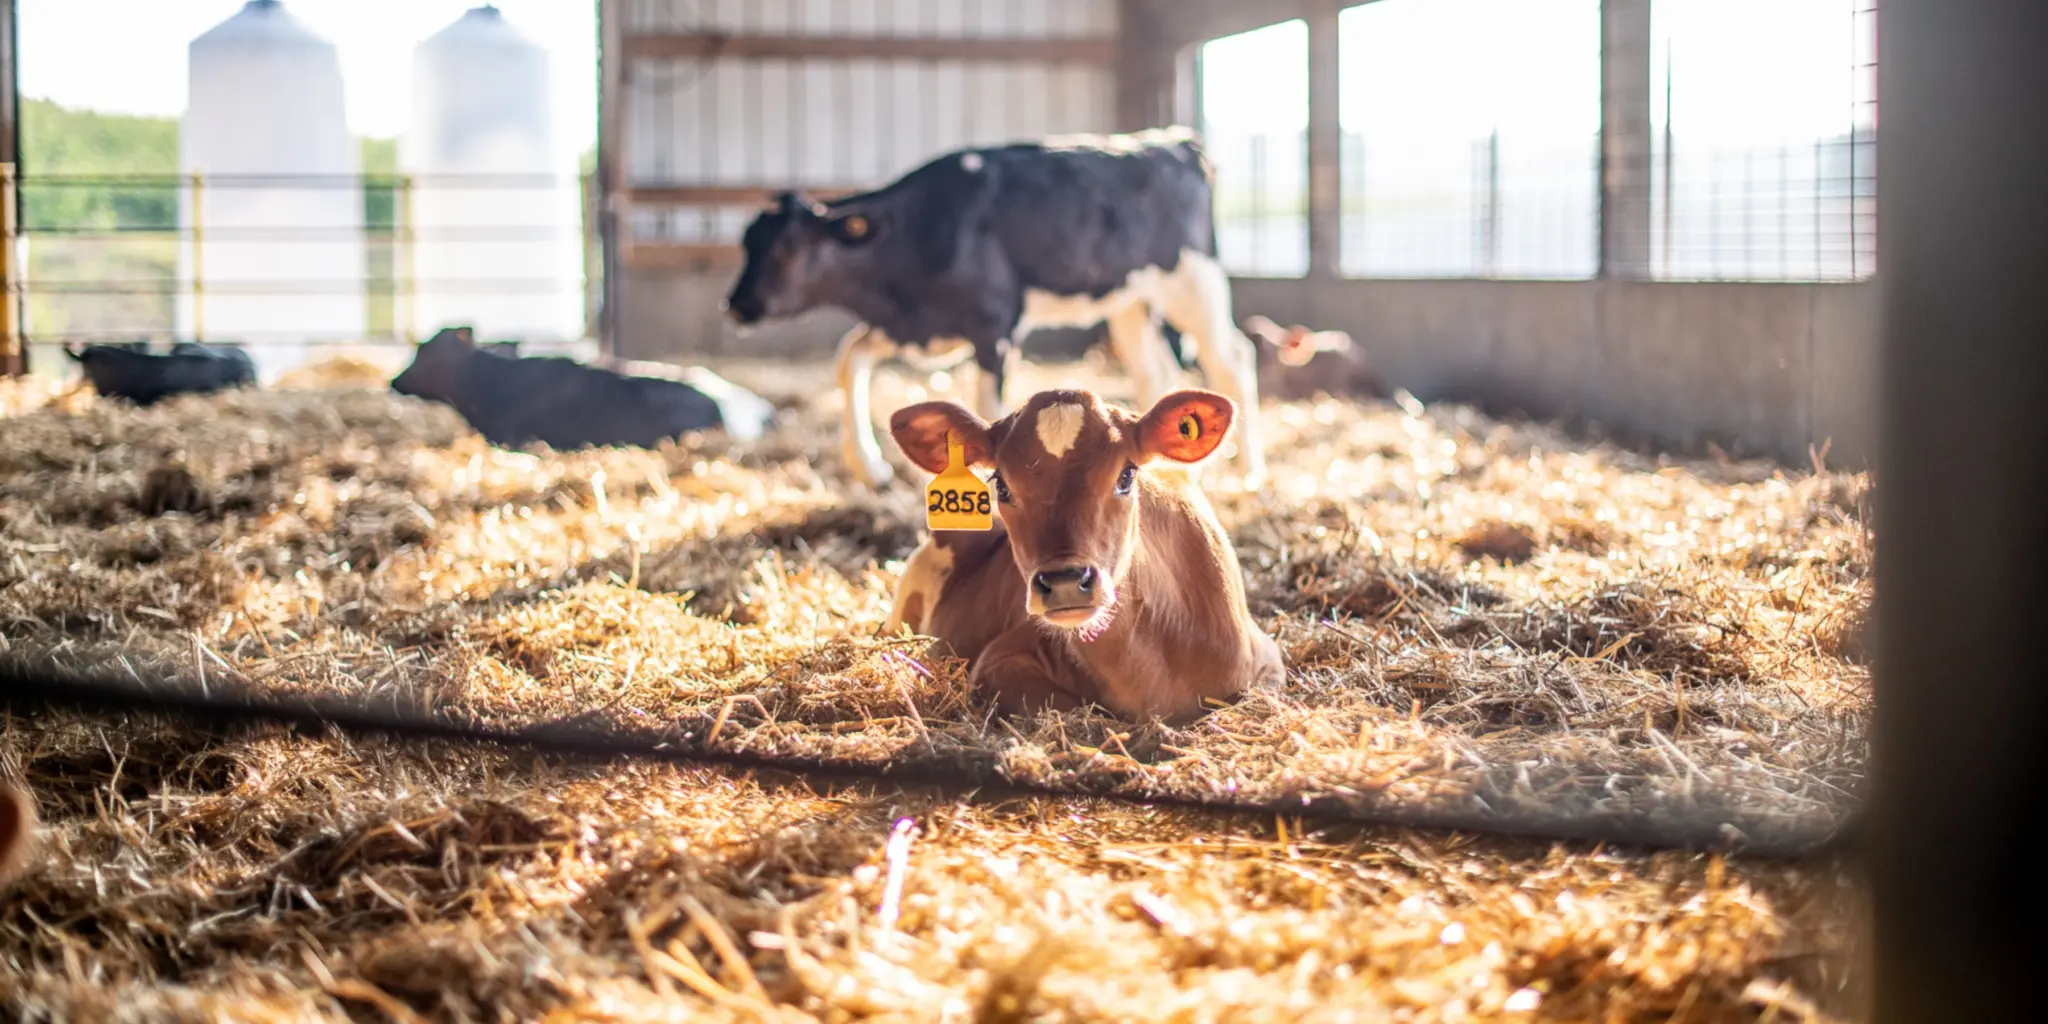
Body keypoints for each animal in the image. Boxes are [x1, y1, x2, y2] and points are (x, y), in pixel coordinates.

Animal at [720, 126, 1261, 487]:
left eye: (788, 248)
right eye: (747, 242)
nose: (737, 304)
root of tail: (1172, 141)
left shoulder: (994, 325)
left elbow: (988, 409)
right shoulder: (914, 326)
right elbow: (849, 358)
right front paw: (869, 467)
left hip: (1193, 281)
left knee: (1231, 359)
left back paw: (1247, 473)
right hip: (1129, 300)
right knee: (1156, 370)